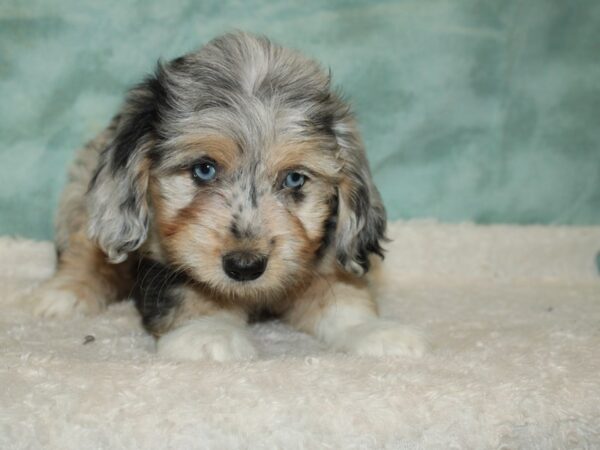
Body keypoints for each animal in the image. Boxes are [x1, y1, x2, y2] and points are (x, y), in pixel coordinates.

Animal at [34, 32, 426, 362]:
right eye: (204, 169)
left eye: (294, 178)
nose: (245, 266)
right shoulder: (166, 260)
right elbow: (191, 293)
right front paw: (207, 334)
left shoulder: (326, 255)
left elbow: (345, 297)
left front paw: (377, 332)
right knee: (85, 247)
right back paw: (62, 294)